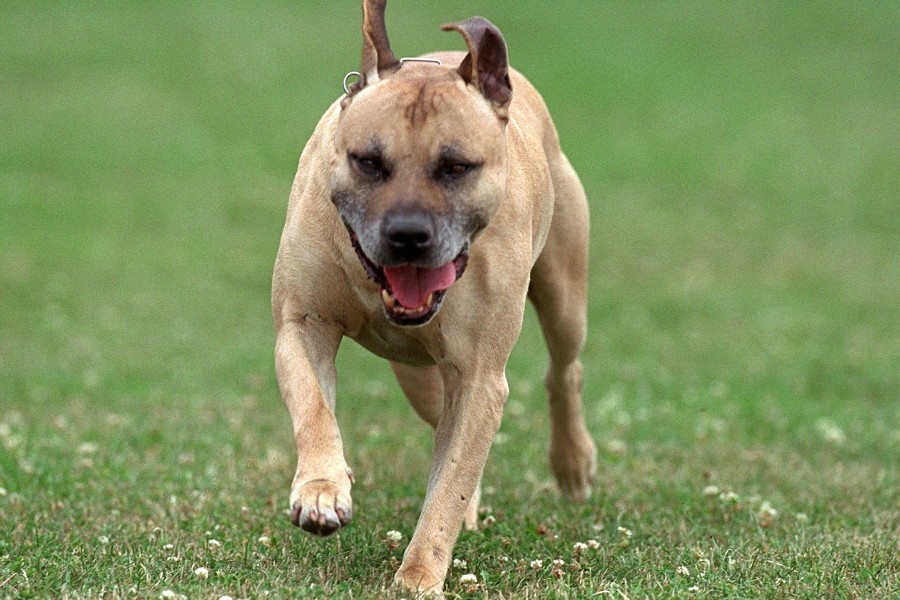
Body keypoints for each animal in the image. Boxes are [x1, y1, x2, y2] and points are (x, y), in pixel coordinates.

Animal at [274, 0, 596, 592]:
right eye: (368, 161)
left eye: (456, 167)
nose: (408, 234)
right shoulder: (303, 322)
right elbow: (313, 405)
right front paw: (322, 489)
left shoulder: (480, 378)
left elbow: (448, 486)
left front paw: (419, 576)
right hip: (419, 376)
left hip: (564, 295)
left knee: (564, 371)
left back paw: (572, 462)